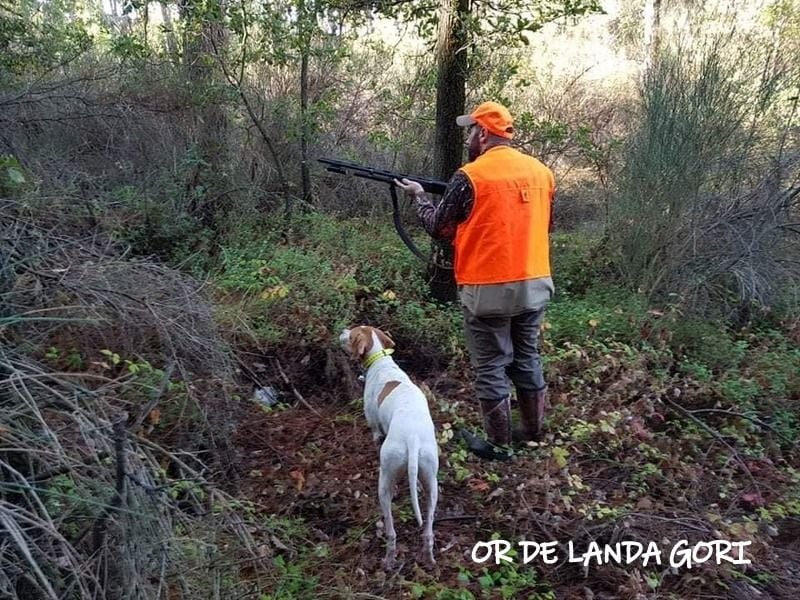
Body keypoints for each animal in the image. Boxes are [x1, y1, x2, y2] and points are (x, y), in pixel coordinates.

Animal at [338, 326, 438, 568]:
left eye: (351, 333)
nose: (342, 329)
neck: (380, 360)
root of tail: (412, 438)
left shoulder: (376, 432)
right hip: (433, 482)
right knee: (428, 530)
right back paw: (429, 558)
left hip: (384, 484)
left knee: (391, 530)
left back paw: (389, 560)